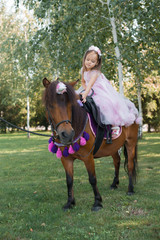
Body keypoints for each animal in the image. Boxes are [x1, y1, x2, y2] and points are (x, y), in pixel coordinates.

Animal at [43, 78, 139, 211]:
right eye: (50, 105)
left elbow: (92, 178)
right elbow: (69, 180)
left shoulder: (88, 157)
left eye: (70, 105)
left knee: (130, 165)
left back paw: (130, 189)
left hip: (130, 143)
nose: (67, 134)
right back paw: (114, 183)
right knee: (117, 161)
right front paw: (70, 202)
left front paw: (97, 202)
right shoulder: (66, 159)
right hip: (113, 148)